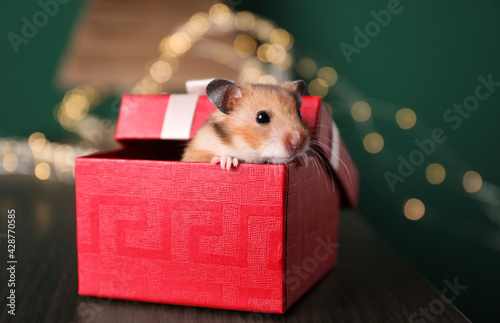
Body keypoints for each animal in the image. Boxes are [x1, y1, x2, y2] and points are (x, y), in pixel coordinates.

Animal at [182, 79, 310, 171]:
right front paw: (227, 162)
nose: (298, 143)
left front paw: (303, 160)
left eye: (299, 113)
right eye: (262, 117)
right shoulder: (194, 155)